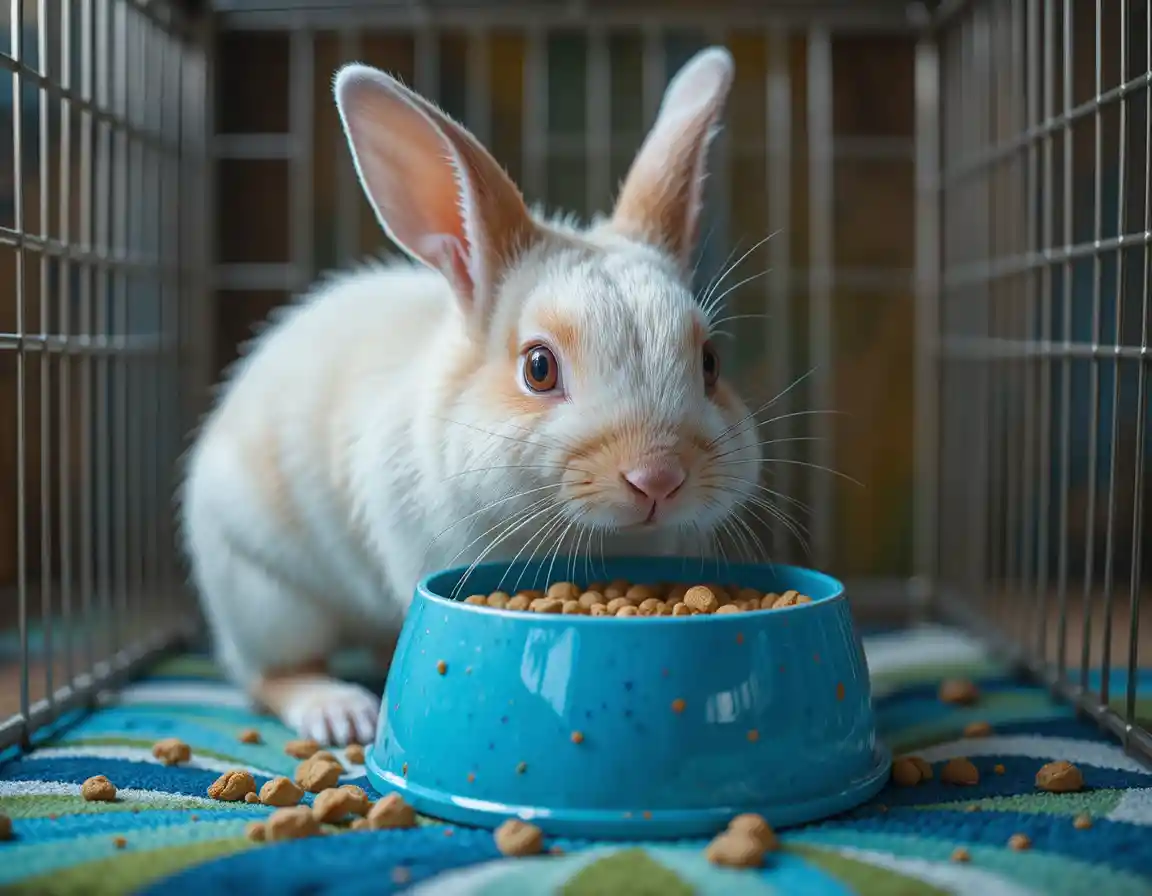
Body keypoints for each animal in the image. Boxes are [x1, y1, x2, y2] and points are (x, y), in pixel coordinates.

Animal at [179, 46, 764, 746]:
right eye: (538, 368)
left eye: (710, 363)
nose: (658, 478)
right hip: (264, 594)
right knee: (271, 674)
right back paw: (339, 712)